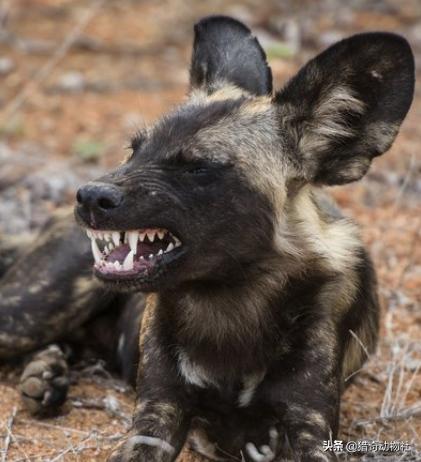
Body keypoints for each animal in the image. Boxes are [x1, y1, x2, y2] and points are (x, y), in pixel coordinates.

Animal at [0, 15, 414, 462]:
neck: (229, 305)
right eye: (134, 150)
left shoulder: (310, 426)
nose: (90, 195)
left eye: (197, 167)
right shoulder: (157, 412)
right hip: (29, 314)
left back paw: (48, 374)